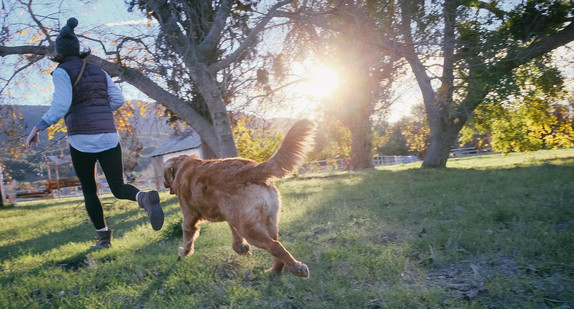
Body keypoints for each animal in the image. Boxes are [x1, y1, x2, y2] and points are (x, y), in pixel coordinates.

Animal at [162, 118, 318, 276]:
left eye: (164, 176)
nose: (163, 184)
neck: (183, 166)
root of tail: (251, 169)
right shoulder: (230, 214)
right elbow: (233, 230)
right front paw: (241, 247)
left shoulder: (189, 217)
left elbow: (187, 238)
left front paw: (183, 252)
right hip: (268, 221)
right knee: (277, 248)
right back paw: (274, 270)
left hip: (250, 230)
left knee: (275, 246)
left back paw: (296, 267)